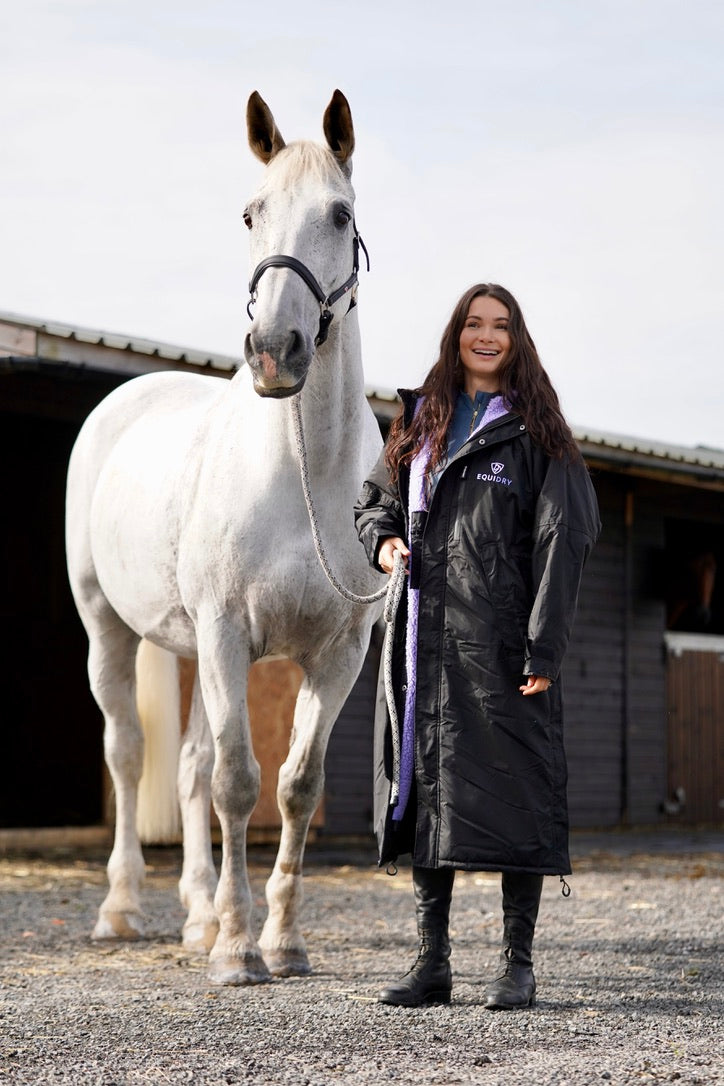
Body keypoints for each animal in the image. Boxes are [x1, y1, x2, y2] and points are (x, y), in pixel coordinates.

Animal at [65, 90, 385, 985]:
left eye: (340, 214)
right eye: (251, 212)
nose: (275, 351)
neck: (305, 474)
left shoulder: (338, 655)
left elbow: (296, 785)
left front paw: (280, 941)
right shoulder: (225, 632)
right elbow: (241, 785)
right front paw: (240, 952)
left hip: (197, 652)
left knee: (190, 768)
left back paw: (199, 914)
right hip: (116, 630)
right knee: (132, 754)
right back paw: (123, 910)